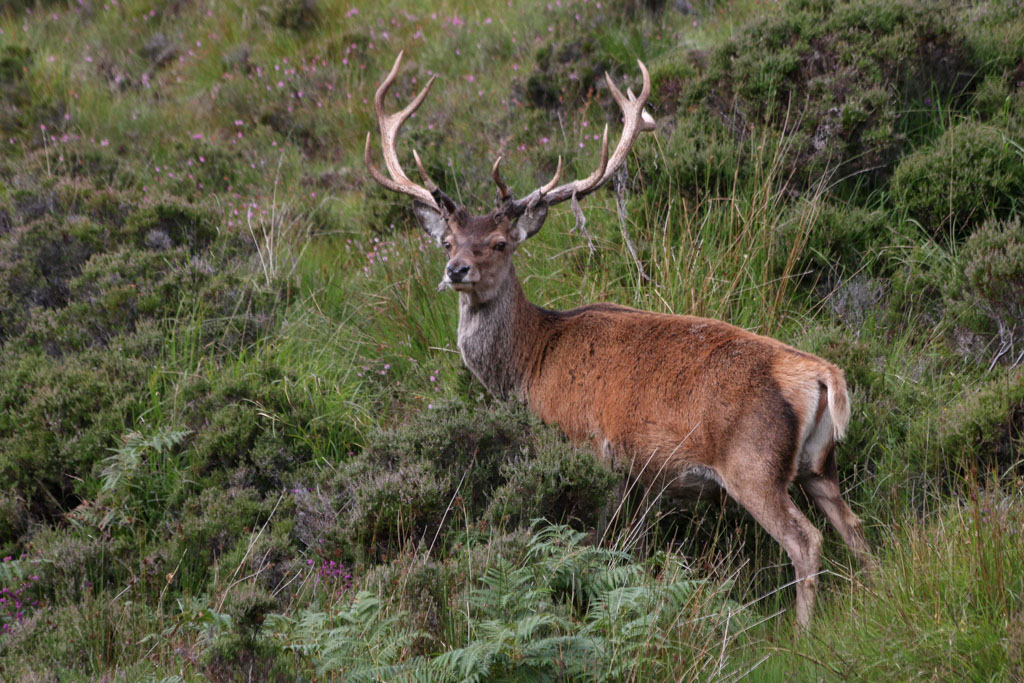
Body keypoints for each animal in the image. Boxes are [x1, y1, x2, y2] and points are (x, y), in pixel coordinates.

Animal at [365, 52, 875, 627]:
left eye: (498, 243)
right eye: (448, 241)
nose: (456, 271)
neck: (530, 364)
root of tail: (822, 376)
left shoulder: (588, 444)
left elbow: (596, 540)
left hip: (754, 462)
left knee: (806, 541)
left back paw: (802, 630)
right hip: (819, 463)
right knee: (854, 527)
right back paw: (879, 590)